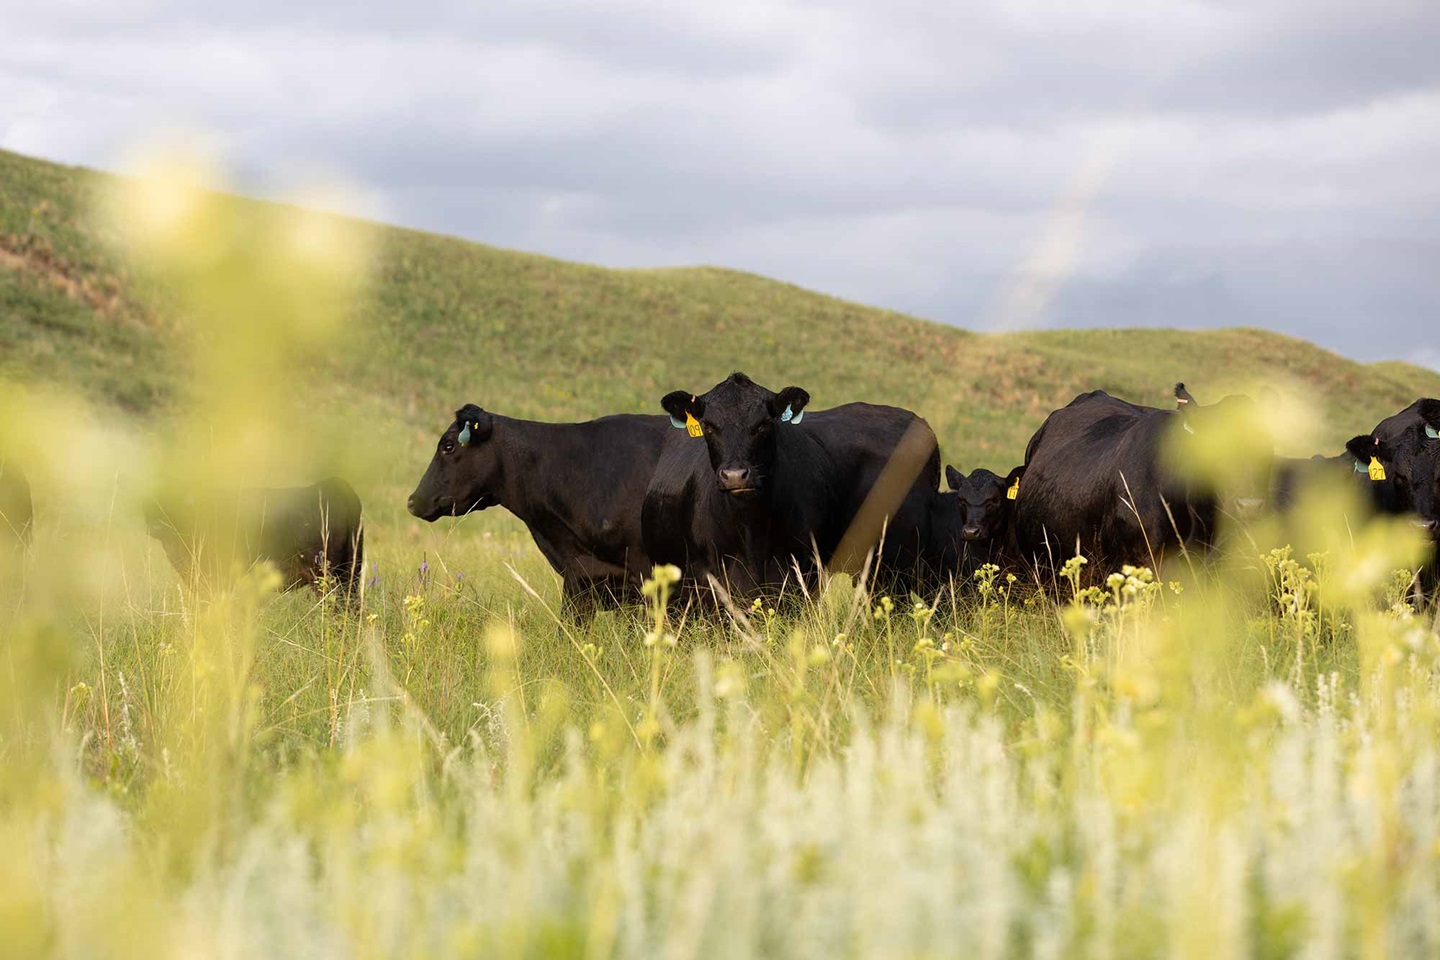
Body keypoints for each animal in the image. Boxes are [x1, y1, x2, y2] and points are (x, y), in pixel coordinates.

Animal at [642, 373, 939, 600]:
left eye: (763, 424)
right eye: (708, 425)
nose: (735, 475)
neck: (751, 531)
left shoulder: (800, 569)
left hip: (898, 565)